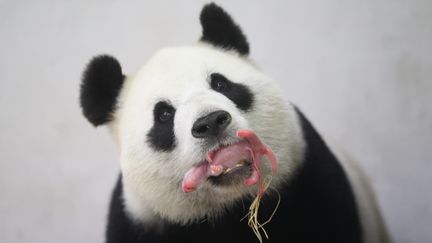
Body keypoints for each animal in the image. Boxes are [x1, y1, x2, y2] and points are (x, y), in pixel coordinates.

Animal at [79, 2, 390, 243]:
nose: (211, 122)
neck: (230, 207)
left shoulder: (311, 182)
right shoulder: (141, 221)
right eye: (164, 115)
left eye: (221, 84)